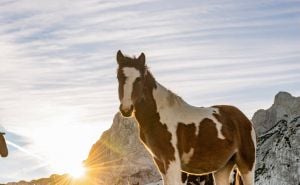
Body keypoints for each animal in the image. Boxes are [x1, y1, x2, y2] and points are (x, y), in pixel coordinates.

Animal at [115, 50, 255, 185]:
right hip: (223, 168)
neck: (157, 116)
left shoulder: (172, 161)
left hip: (247, 165)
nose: (126, 109)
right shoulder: (160, 163)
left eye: (139, 79)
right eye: (119, 77)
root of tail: (244, 118)